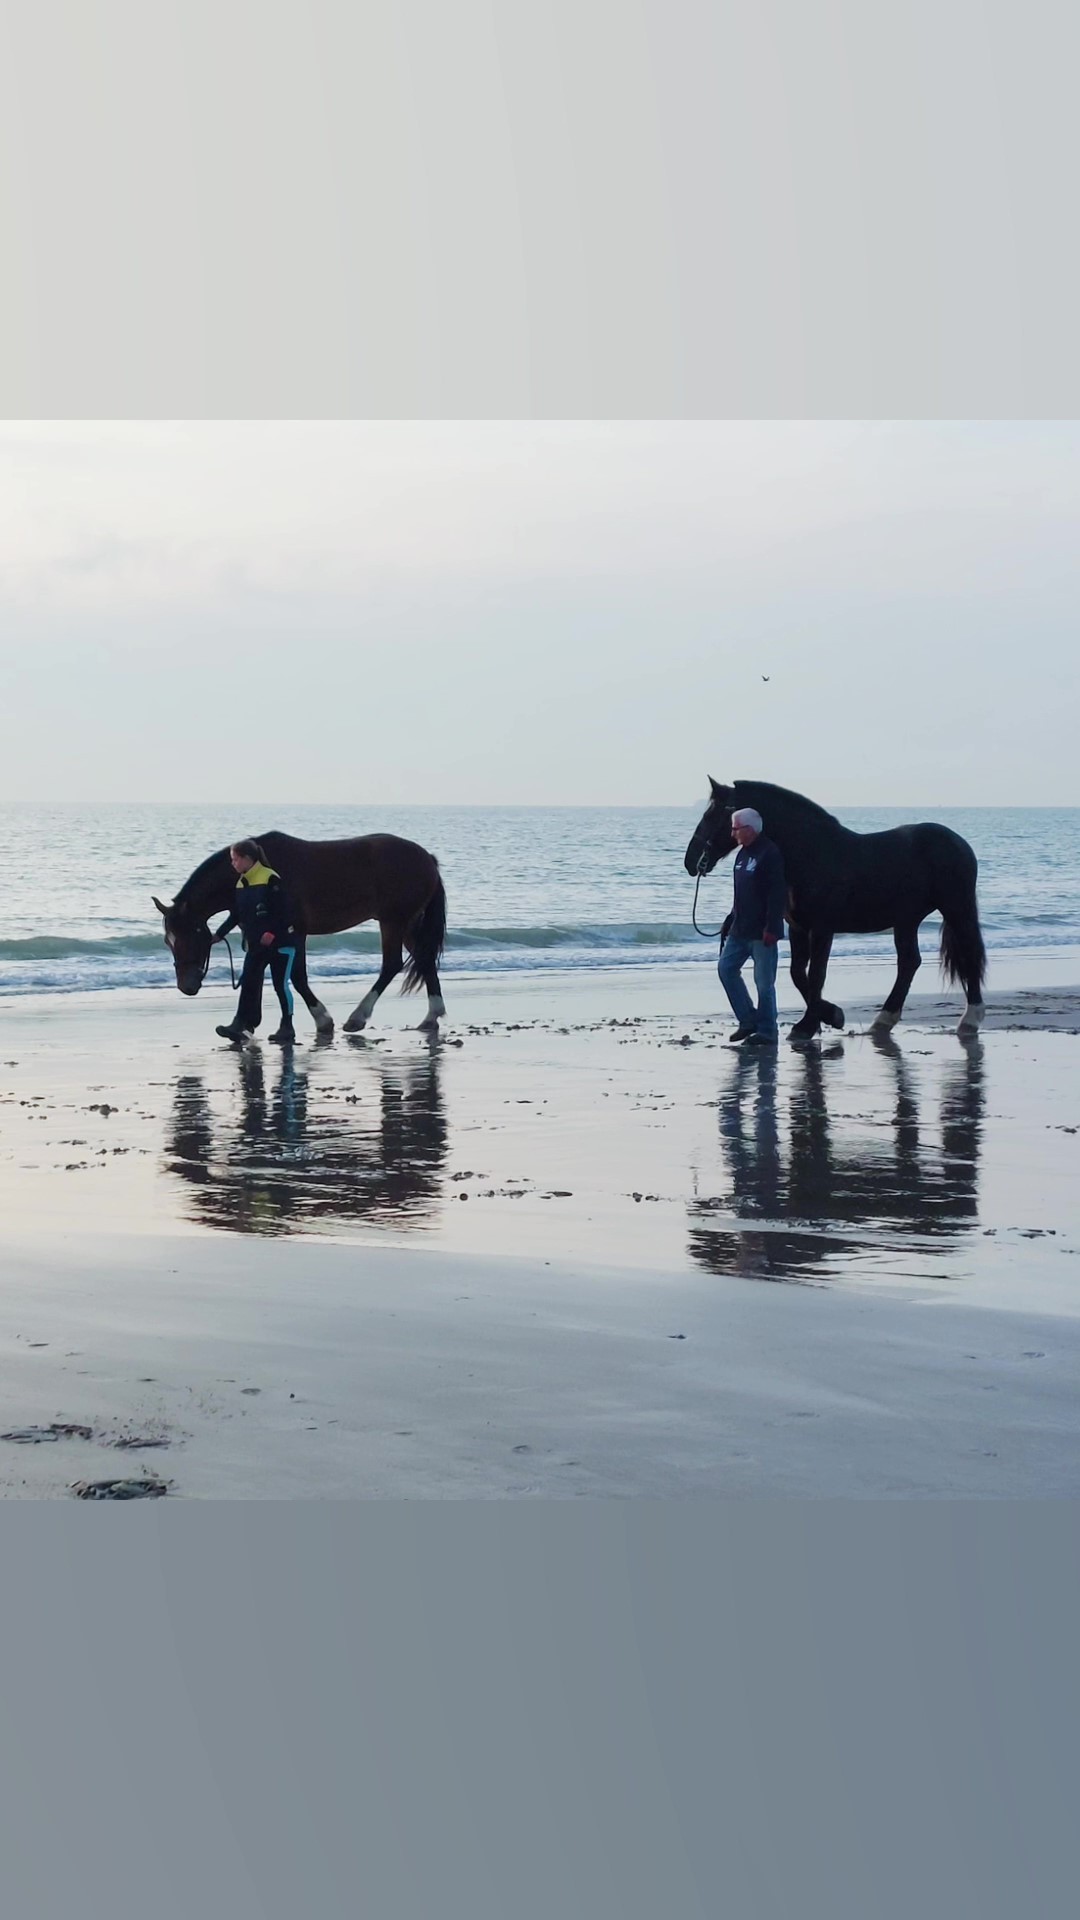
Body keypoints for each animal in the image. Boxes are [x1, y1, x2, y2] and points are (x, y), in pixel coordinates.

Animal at [148, 829, 443, 1036]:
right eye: (168, 941)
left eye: (191, 935)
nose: (186, 987)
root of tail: (427, 859)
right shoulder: (261, 937)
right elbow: (259, 972)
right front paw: (245, 1024)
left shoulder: (294, 933)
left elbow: (295, 977)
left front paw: (322, 1020)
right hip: (408, 923)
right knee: (425, 959)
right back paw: (431, 1016)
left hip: (394, 921)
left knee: (392, 964)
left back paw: (357, 1018)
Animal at [680, 775, 983, 1044]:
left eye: (711, 815)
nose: (690, 860)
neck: (812, 854)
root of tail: (959, 843)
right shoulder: (798, 928)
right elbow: (798, 974)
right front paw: (831, 1016)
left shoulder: (822, 929)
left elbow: (816, 974)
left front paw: (808, 1026)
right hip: (907, 920)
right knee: (909, 962)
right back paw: (883, 1021)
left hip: (957, 910)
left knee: (968, 954)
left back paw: (970, 1019)